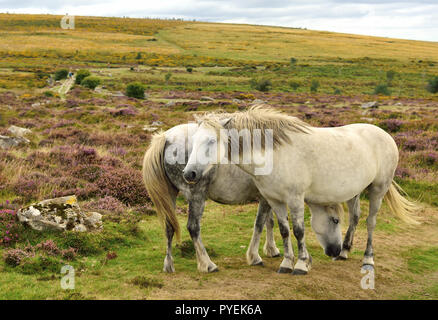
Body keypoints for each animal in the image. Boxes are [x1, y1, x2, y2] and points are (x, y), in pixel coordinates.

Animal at [183, 105, 420, 276]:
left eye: (211, 140)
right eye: (193, 141)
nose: (189, 174)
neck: (274, 153)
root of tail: (385, 134)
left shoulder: (295, 198)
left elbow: (298, 230)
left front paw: (302, 264)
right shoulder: (275, 200)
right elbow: (284, 230)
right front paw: (287, 263)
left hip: (378, 189)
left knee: (371, 222)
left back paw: (368, 258)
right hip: (355, 192)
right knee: (355, 217)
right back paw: (344, 251)